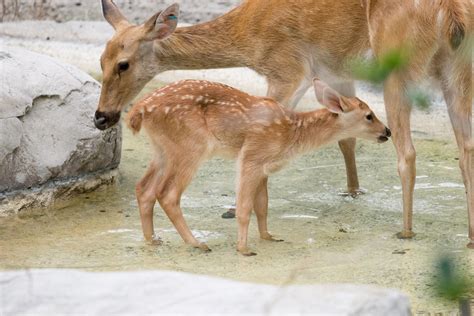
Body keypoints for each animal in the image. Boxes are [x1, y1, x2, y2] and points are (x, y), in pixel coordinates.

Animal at [94, 0, 472, 247]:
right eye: (101, 59)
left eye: (123, 64)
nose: (101, 117)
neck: (248, 35)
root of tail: (453, 14)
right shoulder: (334, 71)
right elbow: (345, 138)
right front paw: (352, 191)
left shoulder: (287, 68)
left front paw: (235, 209)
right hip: (458, 72)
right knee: (465, 150)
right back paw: (467, 236)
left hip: (397, 64)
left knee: (407, 153)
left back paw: (406, 231)